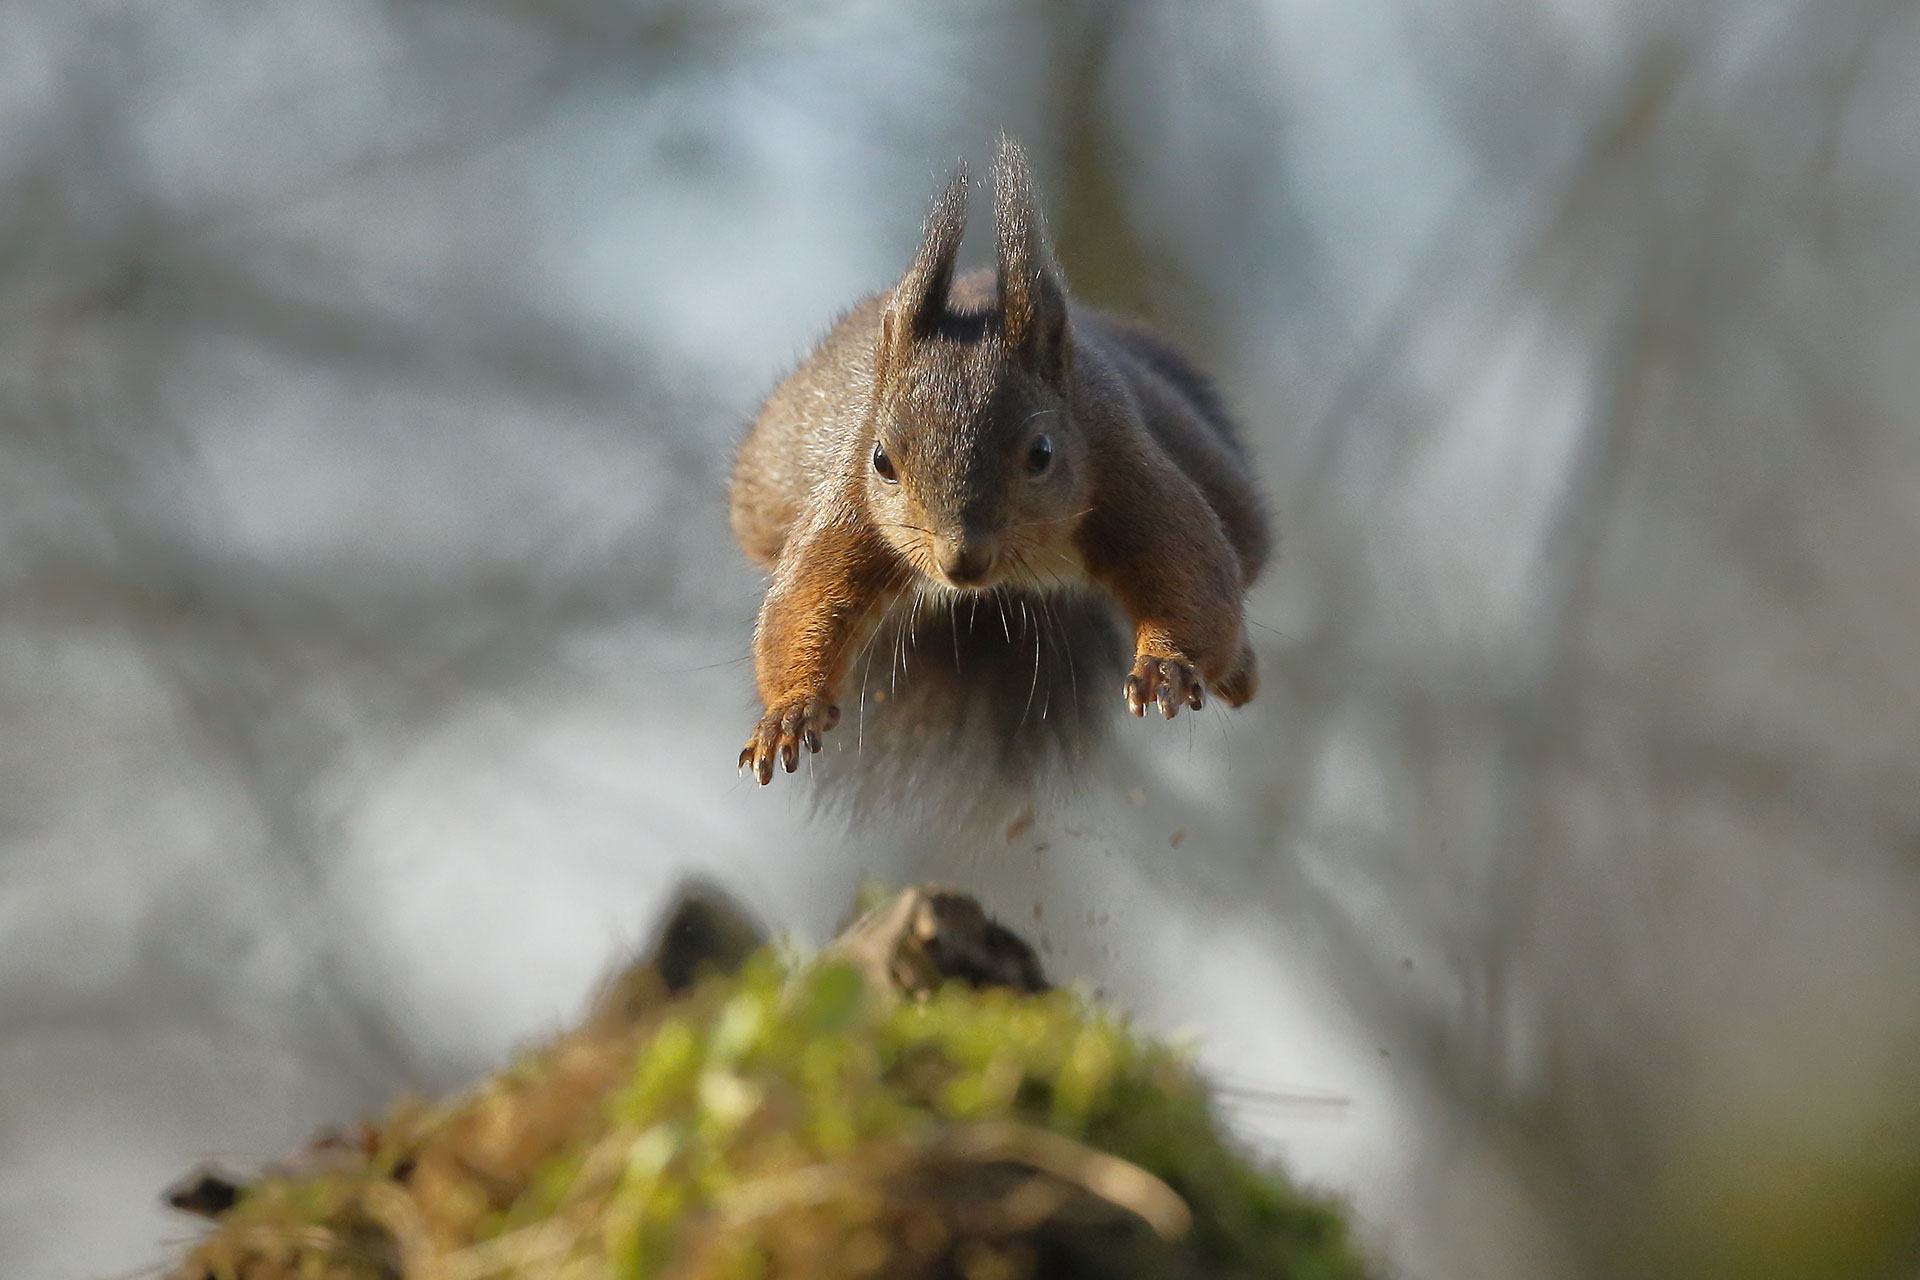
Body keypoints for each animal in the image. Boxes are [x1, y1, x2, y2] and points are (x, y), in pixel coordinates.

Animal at [729, 136, 1270, 797]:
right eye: (882, 460)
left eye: (1042, 453)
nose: (960, 561)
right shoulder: (849, 507)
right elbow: (804, 604)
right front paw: (790, 710)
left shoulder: (1124, 465)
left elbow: (1190, 574)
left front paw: (1167, 664)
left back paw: (1238, 671)